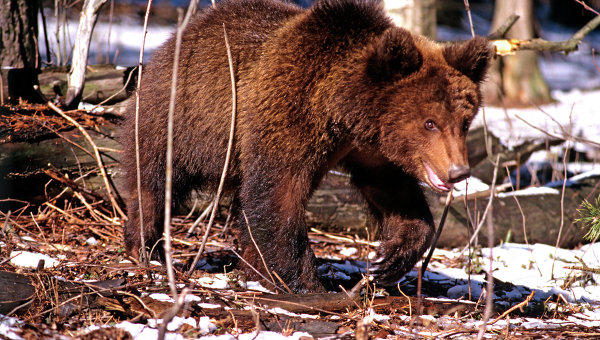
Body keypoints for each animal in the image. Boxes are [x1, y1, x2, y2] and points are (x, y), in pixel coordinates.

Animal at [122, 0, 492, 292]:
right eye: (430, 122)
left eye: (464, 120)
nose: (458, 171)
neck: (342, 112)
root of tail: (175, 38)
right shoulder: (288, 116)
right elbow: (279, 195)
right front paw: (304, 282)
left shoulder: (369, 148)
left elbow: (392, 190)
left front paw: (390, 259)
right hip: (179, 119)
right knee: (154, 182)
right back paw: (147, 248)